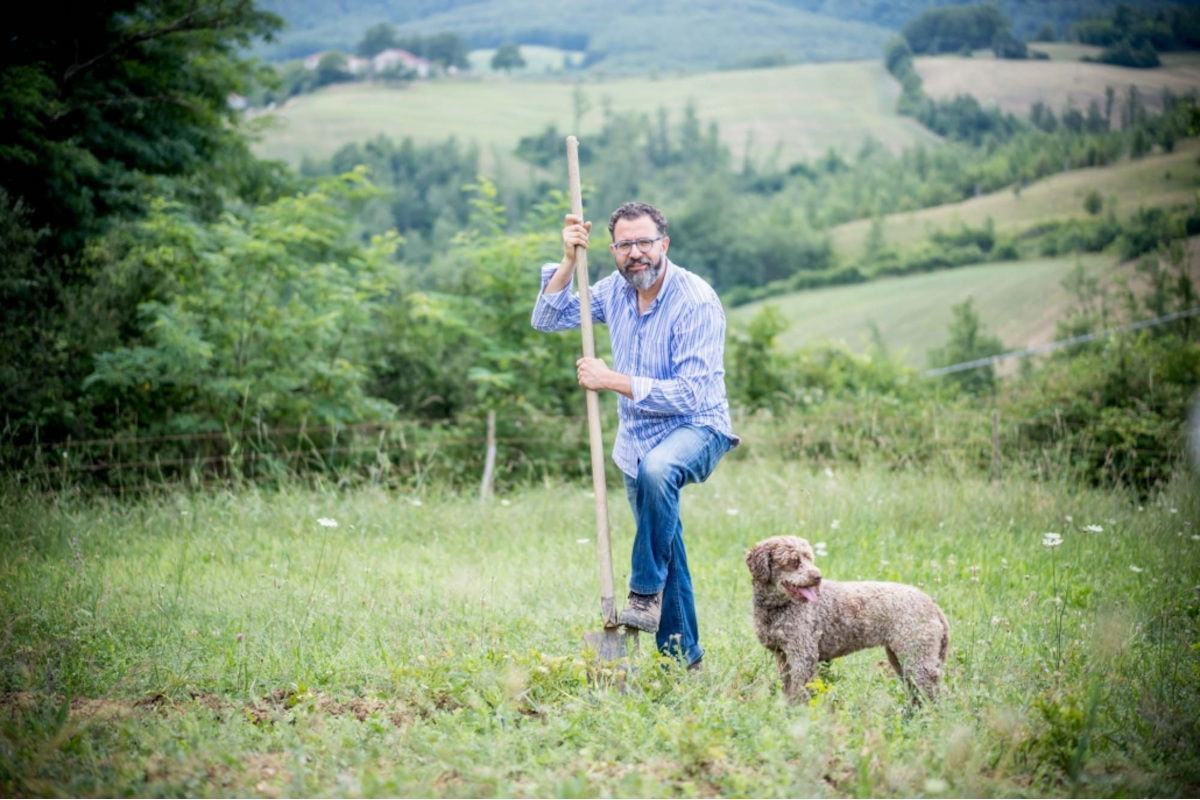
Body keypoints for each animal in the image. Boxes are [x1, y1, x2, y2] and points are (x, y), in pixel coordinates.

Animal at [739, 537, 945, 700]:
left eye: (810, 559)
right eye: (793, 561)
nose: (818, 577)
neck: (777, 608)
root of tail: (933, 606)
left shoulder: (803, 654)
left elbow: (799, 692)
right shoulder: (782, 656)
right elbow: (787, 690)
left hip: (917, 658)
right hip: (900, 659)